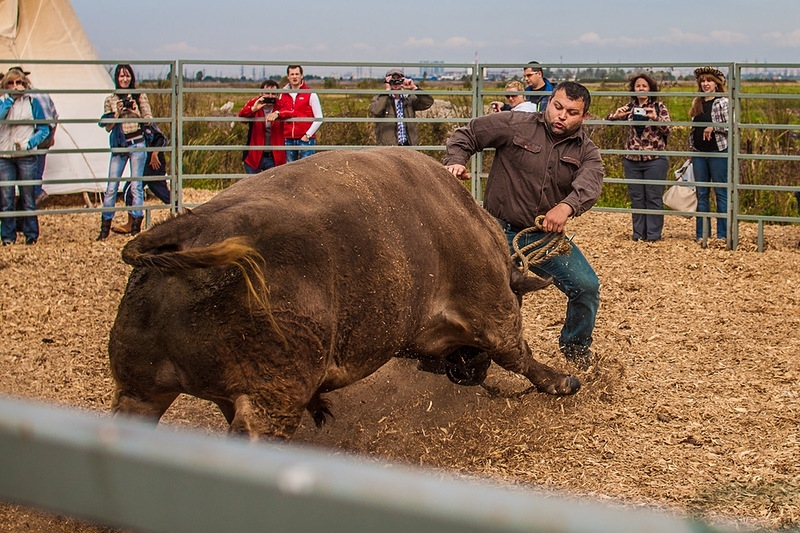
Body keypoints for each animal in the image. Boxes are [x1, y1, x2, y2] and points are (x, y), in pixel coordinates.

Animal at [109, 145, 580, 436]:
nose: (471, 373)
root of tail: (190, 229)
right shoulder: (491, 306)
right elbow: (518, 352)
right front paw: (561, 380)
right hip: (273, 394)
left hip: (139, 389)